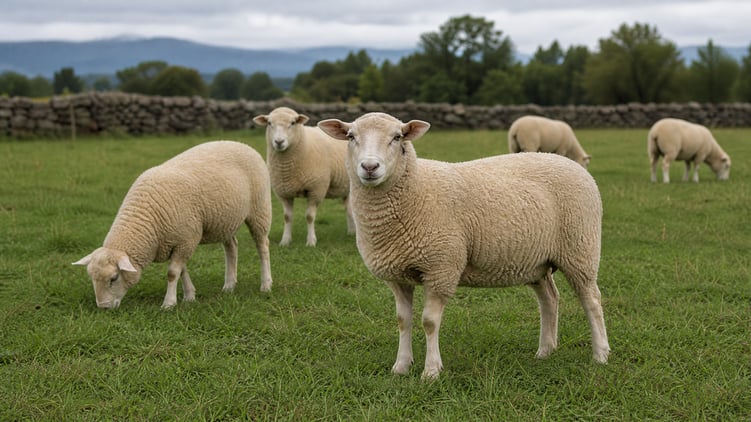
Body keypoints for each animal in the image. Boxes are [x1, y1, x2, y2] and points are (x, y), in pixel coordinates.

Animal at [73, 140, 273, 309]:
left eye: (114, 278)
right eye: (91, 278)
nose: (103, 307)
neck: (147, 221)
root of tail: (242, 144)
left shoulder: (186, 239)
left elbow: (172, 273)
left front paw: (169, 304)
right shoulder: (179, 240)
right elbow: (182, 271)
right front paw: (189, 296)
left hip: (260, 208)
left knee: (262, 246)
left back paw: (266, 284)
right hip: (225, 220)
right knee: (232, 247)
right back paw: (229, 285)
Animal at [253, 107, 354, 246]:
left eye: (293, 122)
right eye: (269, 123)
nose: (279, 142)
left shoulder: (316, 189)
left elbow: (310, 216)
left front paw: (311, 241)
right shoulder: (284, 193)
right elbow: (287, 217)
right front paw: (285, 241)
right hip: (346, 187)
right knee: (348, 208)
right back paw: (351, 231)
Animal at [318, 112, 610, 379]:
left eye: (397, 137)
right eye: (351, 136)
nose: (369, 167)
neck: (416, 188)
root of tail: (574, 167)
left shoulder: (441, 268)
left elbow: (429, 322)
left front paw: (431, 371)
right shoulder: (397, 275)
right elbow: (403, 321)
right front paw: (401, 366)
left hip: (580, 249)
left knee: (592, 300)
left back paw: (600, 354)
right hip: (537, 261)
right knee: (549, 299)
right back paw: (545, 351)